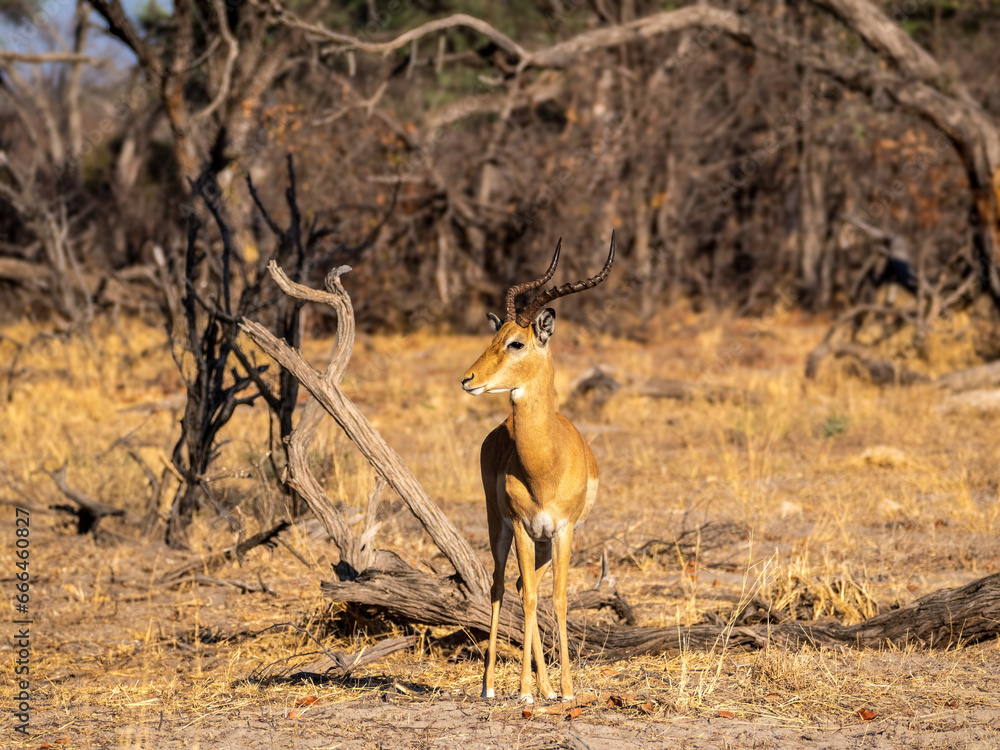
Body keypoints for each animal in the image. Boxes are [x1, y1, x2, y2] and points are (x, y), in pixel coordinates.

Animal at [462, 234, 615, 703]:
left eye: (517, 343)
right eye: (495, 336)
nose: (468, 379)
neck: (546, 466)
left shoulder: (562, 530)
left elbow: (557, 599)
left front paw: (563, 690)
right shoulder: (522, 526)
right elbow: (530, 597)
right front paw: (526, 691)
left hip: (543, 541)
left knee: (519, 588)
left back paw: (544, 686)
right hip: (499, 526)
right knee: (500, 586)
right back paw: (492, 687)